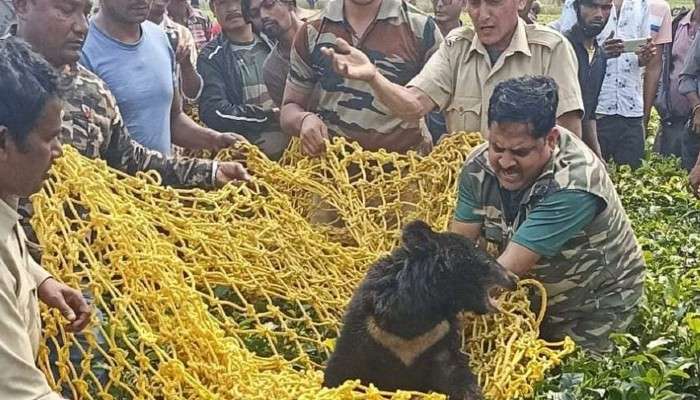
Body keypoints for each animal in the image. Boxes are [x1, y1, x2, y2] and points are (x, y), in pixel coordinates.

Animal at [326, 220, 516, 398]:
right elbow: (343, 368)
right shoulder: (369, 330)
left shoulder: (438, 338)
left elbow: (455, 372)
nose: (513, 279)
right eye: (487, 262)